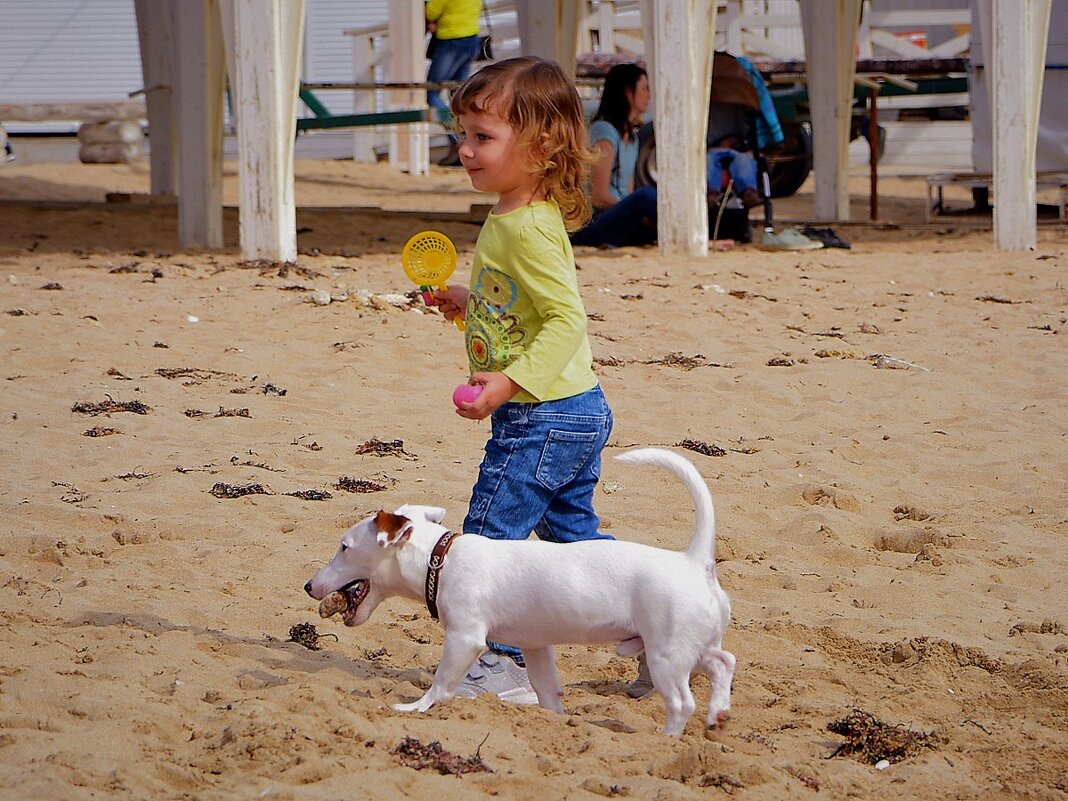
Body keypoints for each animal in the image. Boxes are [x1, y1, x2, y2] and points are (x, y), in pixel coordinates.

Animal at [305, 448, 730, 739]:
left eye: (344, 547)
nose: (309, 586)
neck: (439, 560)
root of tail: (693, 561)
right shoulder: (536, 647)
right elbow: (548, 692)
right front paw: (554, 721)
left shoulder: (464, 638)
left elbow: (441, 683)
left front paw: (415, 707)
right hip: (689, 647)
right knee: (723, 662)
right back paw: (718, 713)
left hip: (666, 653)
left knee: (682, 701)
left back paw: (667, 739)